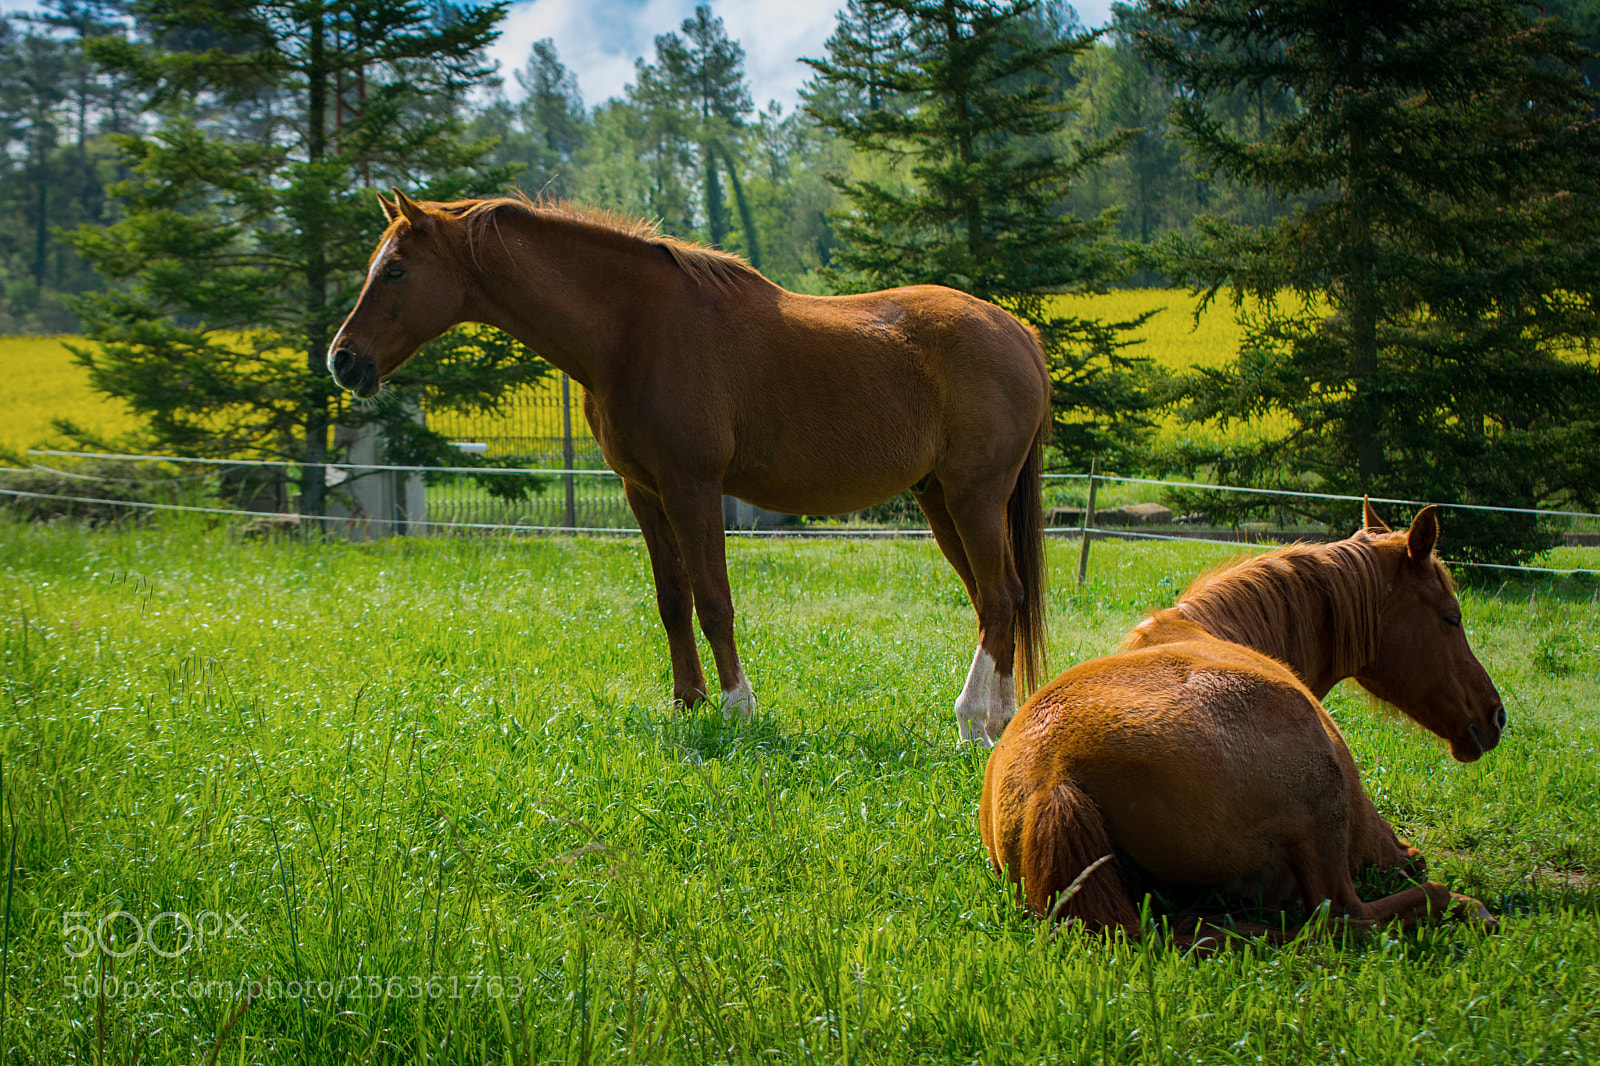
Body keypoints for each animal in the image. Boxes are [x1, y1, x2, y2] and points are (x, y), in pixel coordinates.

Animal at [327, 190, 1050, 744]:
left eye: (395, 270)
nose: (342, 359)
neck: (633, 328)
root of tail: (1017, 333)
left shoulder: (692, 487)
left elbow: (713, 600)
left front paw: (737, 706)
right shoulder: (643, 491)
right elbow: (672, 599)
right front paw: (687, 702)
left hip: (973, 496)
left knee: (997, 597)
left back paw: (972, 721)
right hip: (940, 499)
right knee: (1001, 600)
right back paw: (1005, 721)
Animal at [980, 502, 1507, 936]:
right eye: (1452, 618)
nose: (1496, 715)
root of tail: (1054, 774)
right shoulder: (1380, 845)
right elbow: (1412, 864)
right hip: (1327, 811)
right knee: (1345, 916)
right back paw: (1464, 906)